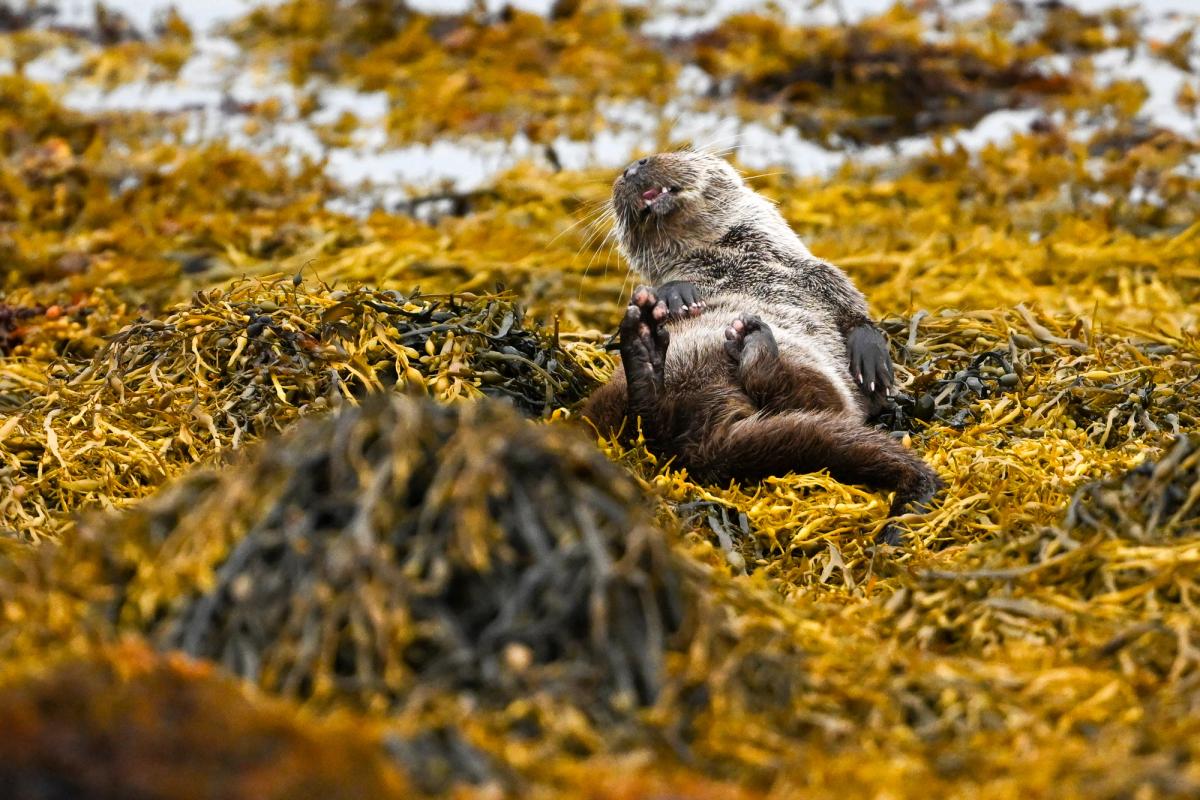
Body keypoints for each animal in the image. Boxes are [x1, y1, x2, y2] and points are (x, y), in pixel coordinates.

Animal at [583, 148, 945, 544]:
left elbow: (858, 319)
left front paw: (873, 362)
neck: (737, 261)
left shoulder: (826, 278)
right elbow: (669, 285)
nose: (631, 168)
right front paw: (677, 296)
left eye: (674, 152)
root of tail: (700, 442)